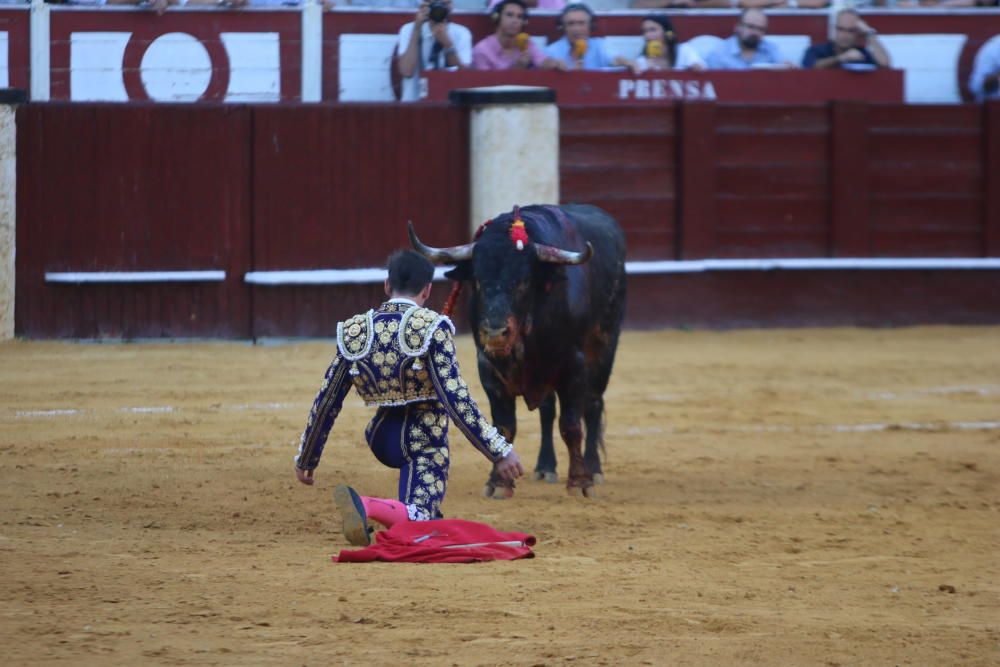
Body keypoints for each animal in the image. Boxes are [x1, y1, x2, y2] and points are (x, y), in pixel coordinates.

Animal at [406, 204, 624, 496]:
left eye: (524, 280)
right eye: (477, 279)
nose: (495, 333)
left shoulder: (574, 365)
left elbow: (570, 425)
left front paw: (580, 482)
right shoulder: (488, 368)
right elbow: (504, 427)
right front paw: (499, 482)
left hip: (604, 348)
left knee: (592, 405)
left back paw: (594, 469)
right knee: (547, 411)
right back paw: (545, 467)